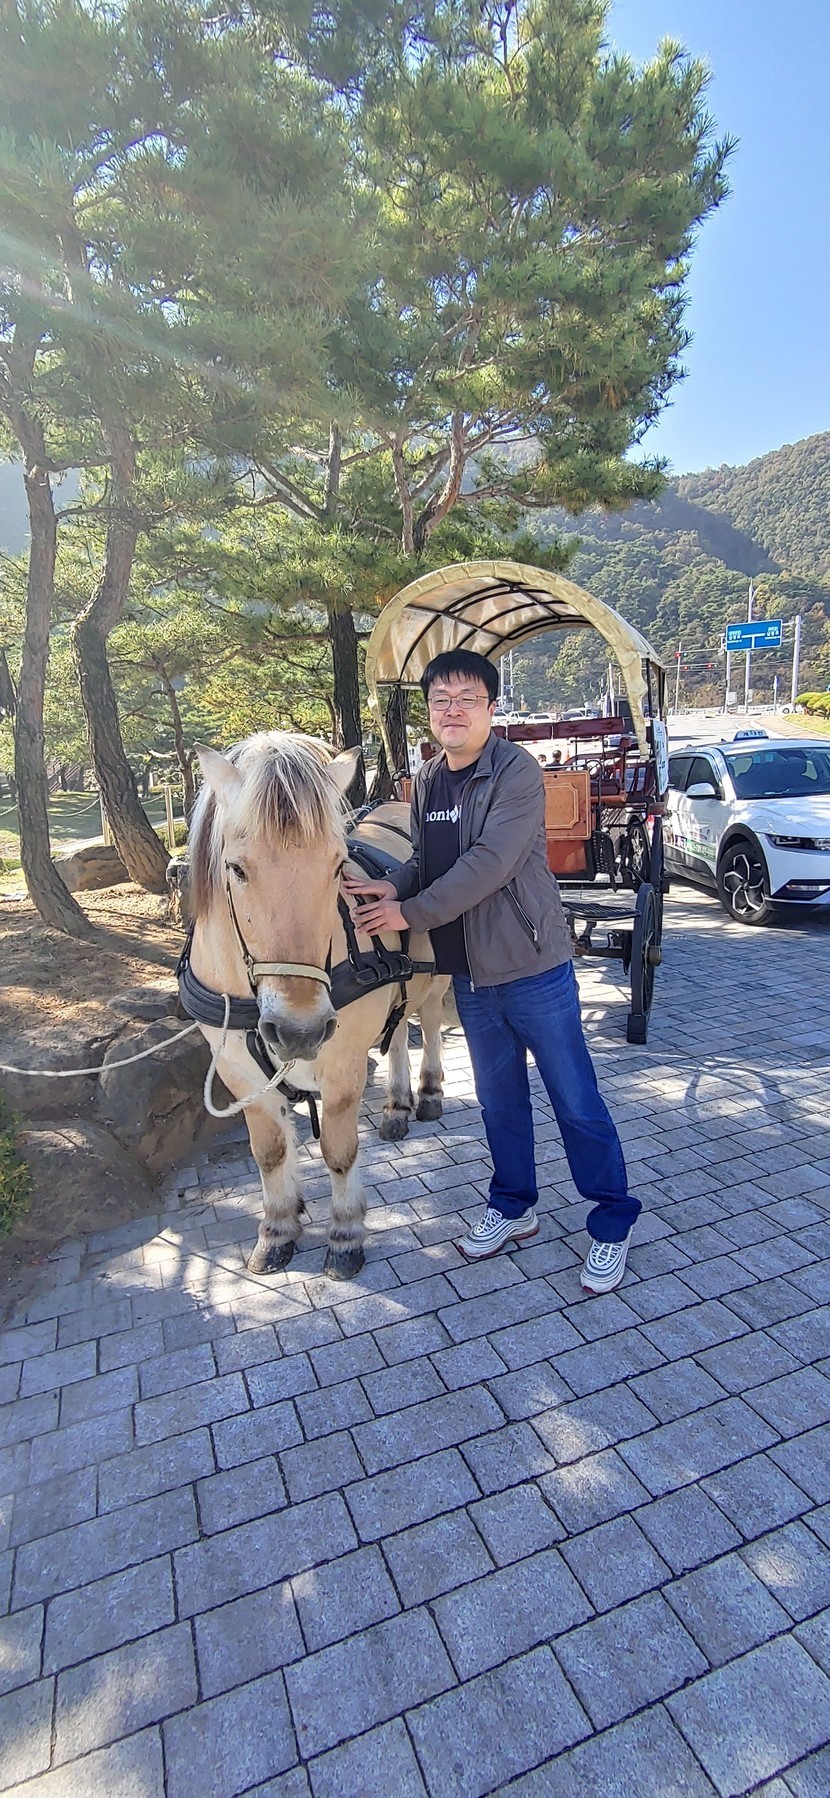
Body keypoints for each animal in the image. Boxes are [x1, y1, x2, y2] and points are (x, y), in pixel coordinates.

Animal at [186, 732, 449, 1280]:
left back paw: (428, 1092)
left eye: (336, 866)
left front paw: (346, 1234)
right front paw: (278, 1228)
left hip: (435, 979)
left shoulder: (343, 1065)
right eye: (236, 868)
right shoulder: (239, 1072)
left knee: (430, 1023)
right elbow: (269, 1153)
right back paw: (396, 1105)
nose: (299, 1029)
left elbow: (338, 1150)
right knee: (397, 1033)